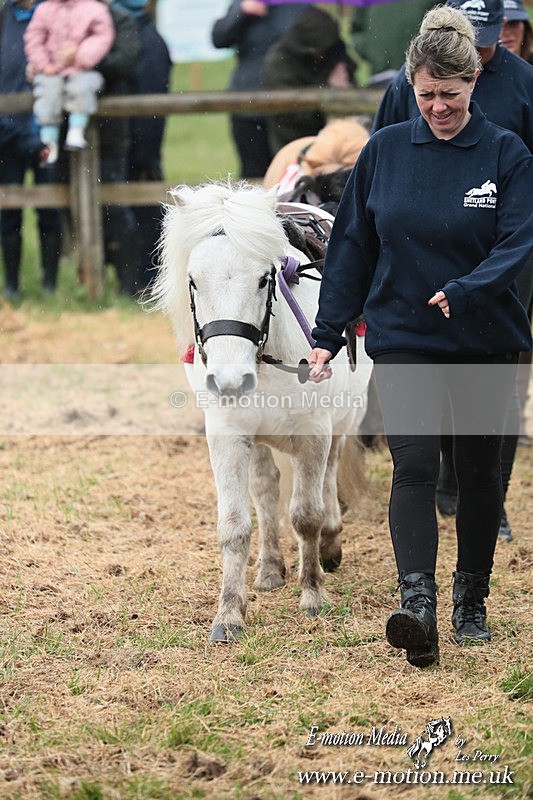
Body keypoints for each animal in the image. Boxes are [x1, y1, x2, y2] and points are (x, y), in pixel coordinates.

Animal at [151, 181, 372, 643]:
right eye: (193, 281)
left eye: (263, 279)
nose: (230, 379)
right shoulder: (228, 435)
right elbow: (236, 525)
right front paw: (229, 614)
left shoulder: (314, 433)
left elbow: (305, 516)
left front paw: (313, 596)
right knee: (267, 491)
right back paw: (270, 568)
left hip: (344, 418)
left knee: (329, 475)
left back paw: (330, 542)